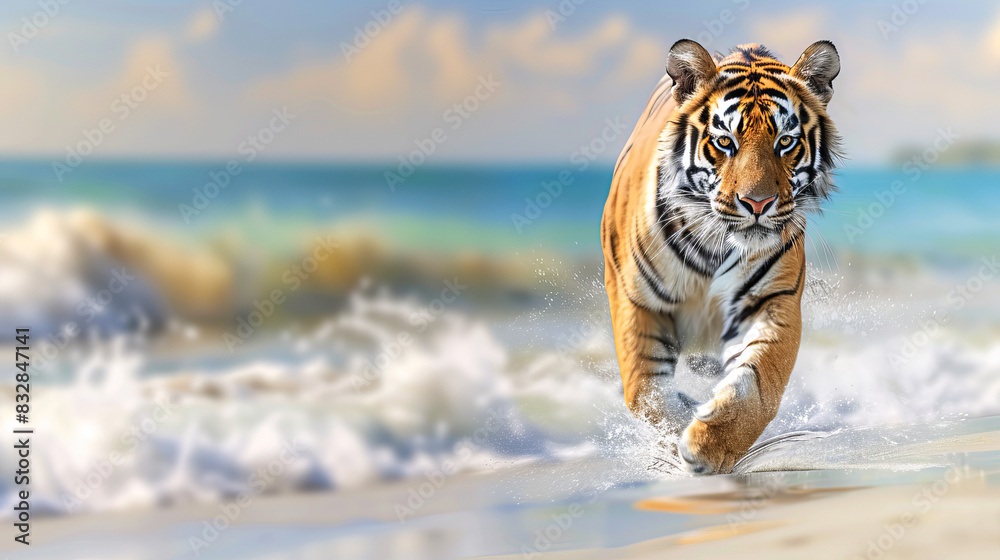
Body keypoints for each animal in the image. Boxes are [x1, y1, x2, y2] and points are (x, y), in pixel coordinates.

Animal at [601, 40, 841, 474]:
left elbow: (758, 385)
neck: (713, 244)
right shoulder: (635, 299)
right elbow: (645, 391)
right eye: (725, 142)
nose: (758, 203)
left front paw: (708, 446)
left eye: (785, 142)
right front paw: (680, 432)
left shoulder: (772, 300)